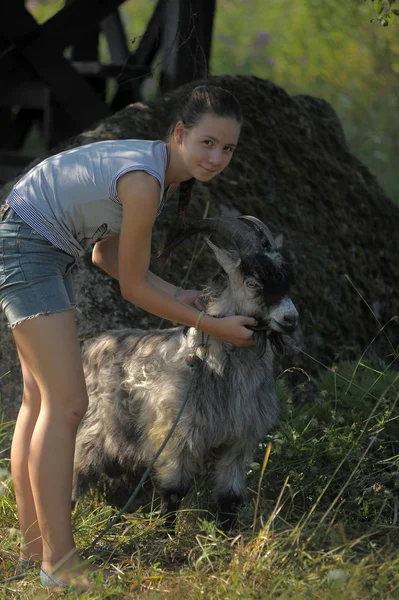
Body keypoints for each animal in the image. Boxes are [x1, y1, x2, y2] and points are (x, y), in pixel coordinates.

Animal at [72, 216, 300, 524]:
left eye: (287, 281)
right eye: (253, 282)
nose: (291, 319)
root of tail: (92, 345)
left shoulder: (241, 440)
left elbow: (229, 498)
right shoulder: (178, 436)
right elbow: (173, 493)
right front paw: (163, 532)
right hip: (91, 433)